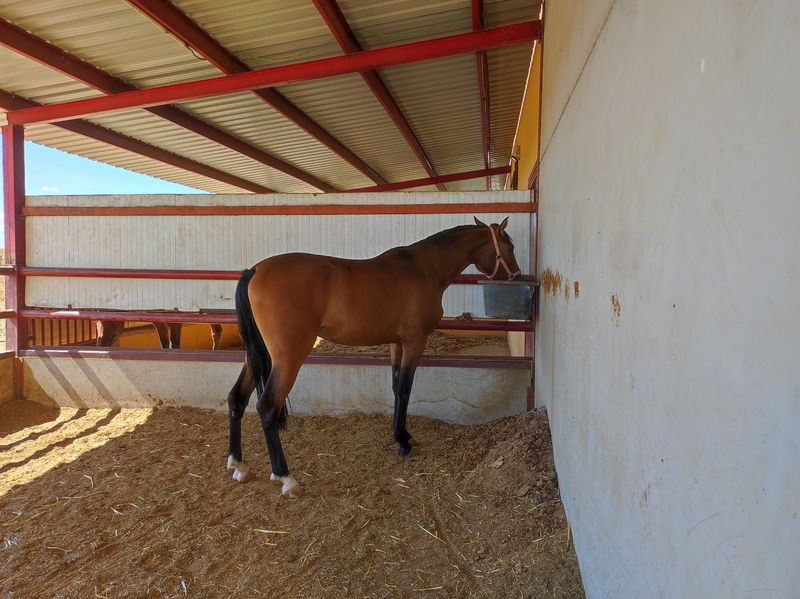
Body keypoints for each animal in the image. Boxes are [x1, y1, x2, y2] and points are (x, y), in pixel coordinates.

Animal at [226, 217, 521, 498]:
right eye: (510, 248)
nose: (517, 277)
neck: (422, 269)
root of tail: (255, 271)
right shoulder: (415, 342)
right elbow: (404, 389)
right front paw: (403, 441)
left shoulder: (396, 343)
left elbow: (395, 386)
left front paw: (401, 436)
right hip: (287, 358)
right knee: (267, 407)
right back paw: (286, 478)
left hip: (257, 356)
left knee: (237, 398)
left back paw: (238, 465)